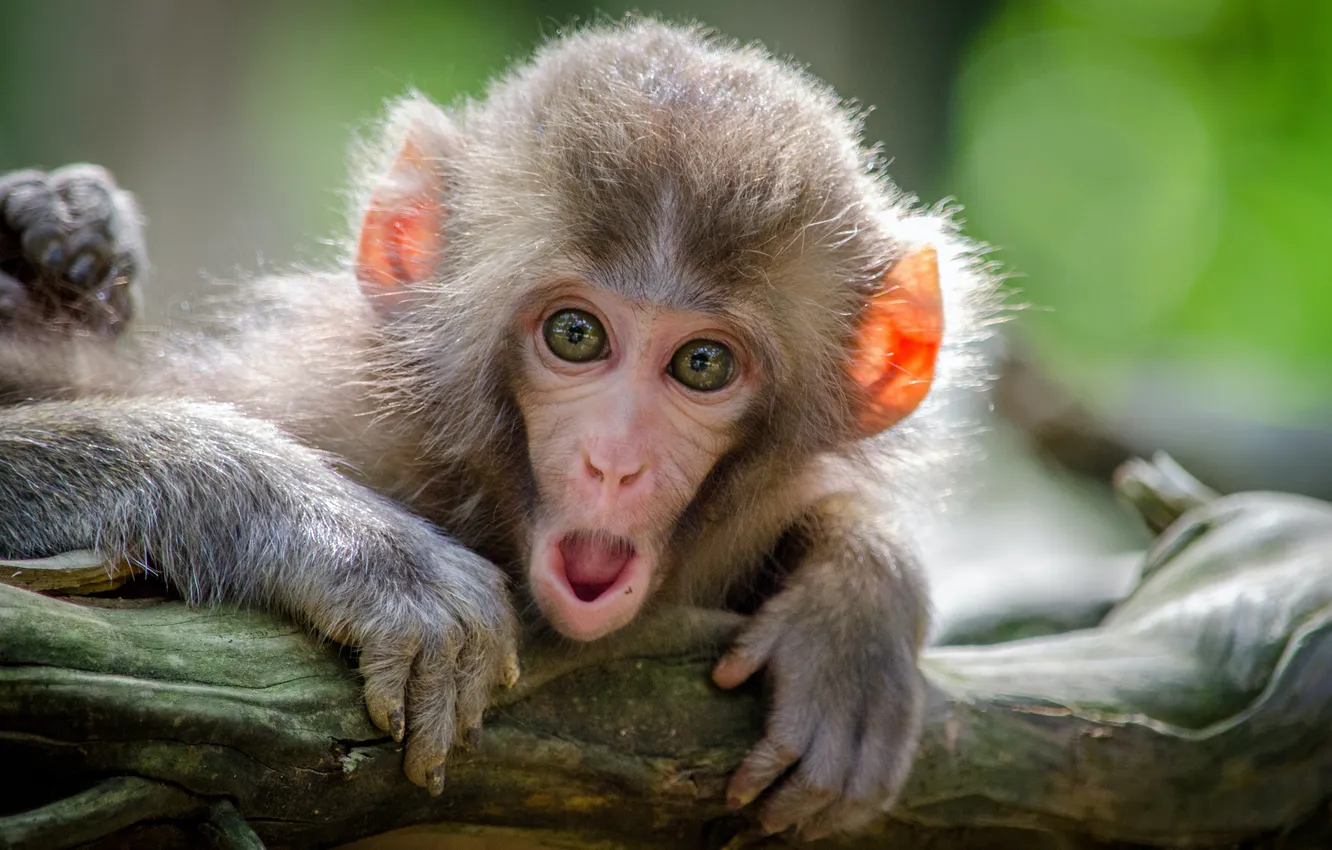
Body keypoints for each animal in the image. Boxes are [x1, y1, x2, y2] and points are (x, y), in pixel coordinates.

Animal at [0, 20, 993, 840]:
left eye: (703, 364)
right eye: (576, 335)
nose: (614, 461)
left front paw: (855, 608)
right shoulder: (325, 404)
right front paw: (357, 548)